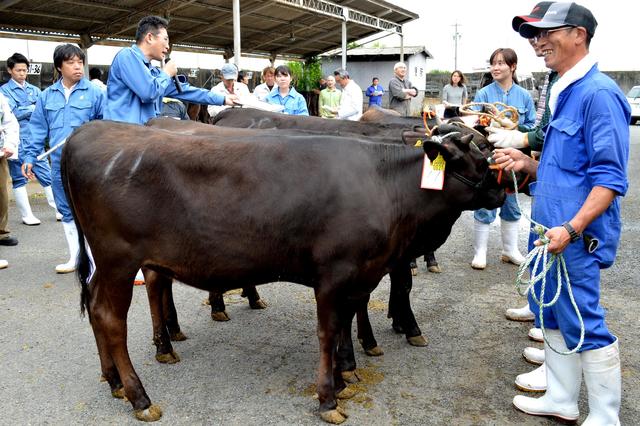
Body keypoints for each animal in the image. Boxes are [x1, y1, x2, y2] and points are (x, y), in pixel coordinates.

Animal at [62, 119, 508, 422]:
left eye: (485, 149)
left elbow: (346, 322)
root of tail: (89, 131)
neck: (383, 184)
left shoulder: (361, 273)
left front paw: (344, 378)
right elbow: (329, 332)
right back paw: (140, 396)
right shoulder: (334, 273)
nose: (503, 187)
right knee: (111, 318)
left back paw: (116, 381)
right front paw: (329, 396)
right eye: (470, 157)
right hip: (119, 259)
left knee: (99, 307)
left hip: (117, 263)